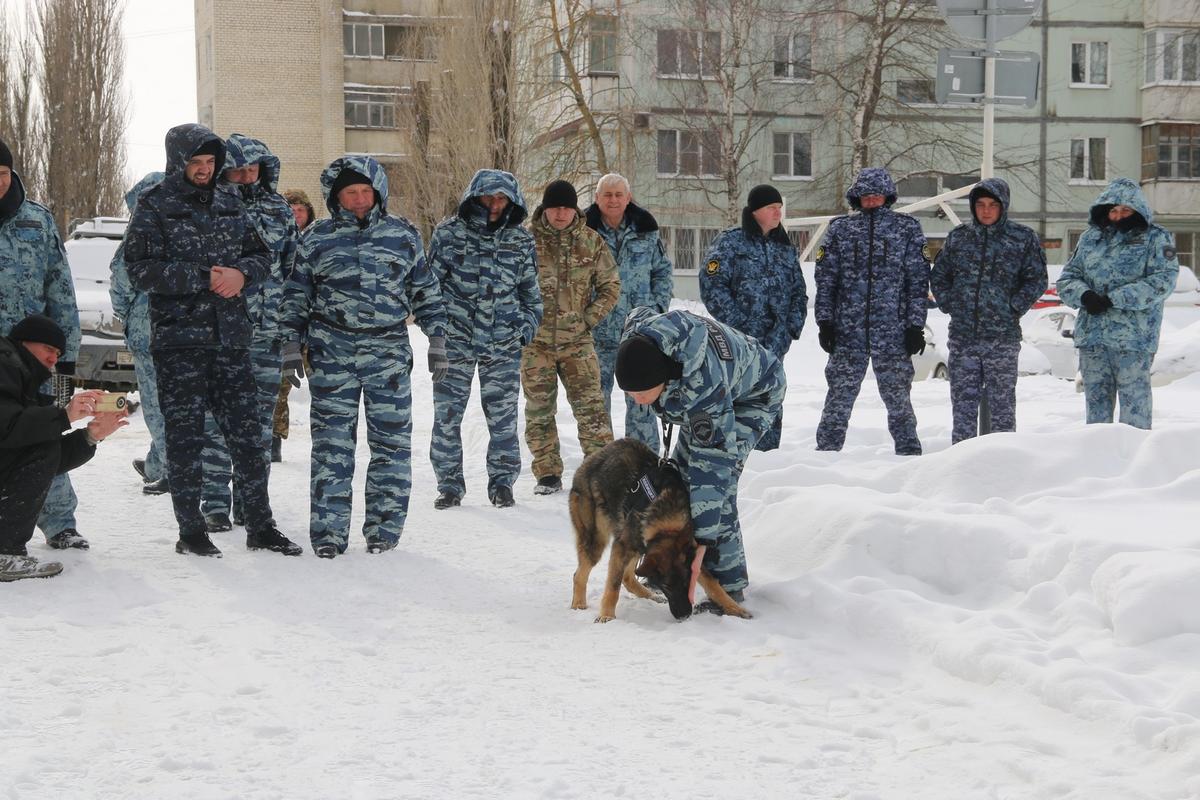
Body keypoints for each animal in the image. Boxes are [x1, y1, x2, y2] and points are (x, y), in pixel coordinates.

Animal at [568, 441, 748, 623]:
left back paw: (650, 596)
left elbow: (712, 583)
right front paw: (607, 615)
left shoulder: (689, 553)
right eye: (666, 586)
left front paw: (734, 608)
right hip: (597, 541)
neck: (667, 521)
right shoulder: (623, 545)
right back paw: (578, 604)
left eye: (688, 582)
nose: (684, 615)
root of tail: (591, 459)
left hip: (637, 547)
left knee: (628, 577)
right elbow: (613, 585)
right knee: (579, 575)